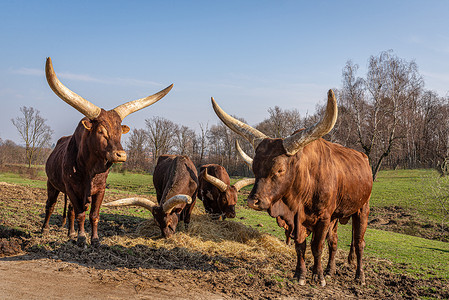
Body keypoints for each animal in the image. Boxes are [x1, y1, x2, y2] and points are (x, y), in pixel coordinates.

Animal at [41, 57, 173, 247]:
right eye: (101, 131)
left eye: (120, 132)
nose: (121, 155)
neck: (89, 169)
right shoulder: (72, 188)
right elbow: (81, 214)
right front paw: (82, 238)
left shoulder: (100, 189)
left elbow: (93, 215)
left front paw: (94, 239)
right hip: (51, 184)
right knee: (50, 205)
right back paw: (45, 230)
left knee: (71, 210)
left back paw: (71, 233)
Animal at [212, 89, 372, 286]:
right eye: (254, 168)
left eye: (279, 169)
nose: (253, 201)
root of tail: (363, 157)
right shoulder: (299, 219)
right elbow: (300, 246)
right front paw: (300, 274)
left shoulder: (324, 217)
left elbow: (316, 246)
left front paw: (317, 276)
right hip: (336, 216)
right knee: (333, 241)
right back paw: (330, 270)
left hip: (362, 209)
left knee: (358, 243)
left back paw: (359, 276)